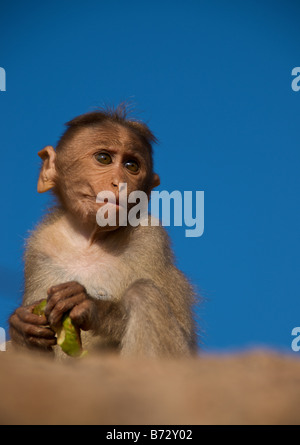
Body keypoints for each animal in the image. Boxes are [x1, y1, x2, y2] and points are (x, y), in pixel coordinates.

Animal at [8, 106, 197, 360]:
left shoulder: (151, 238)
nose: (120, 183)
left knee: (143, 293)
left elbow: (186, 344)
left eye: (131, 166)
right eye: (103, 158)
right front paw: (21, 328)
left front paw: (91, 306)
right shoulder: (39, 246)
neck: (90, 240)